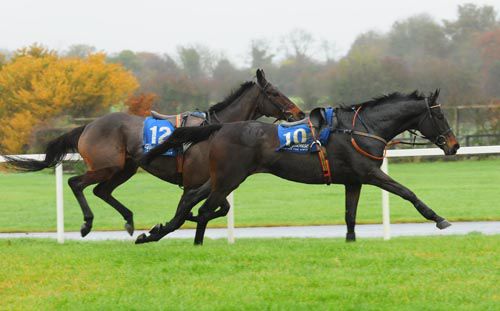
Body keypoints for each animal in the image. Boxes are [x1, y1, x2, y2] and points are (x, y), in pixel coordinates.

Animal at [4, 69, 304, 238]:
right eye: (274, 92)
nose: (298, 112)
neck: (214, 130)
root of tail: (88, 126)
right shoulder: (197, 181)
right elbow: (210, 206)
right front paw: (182, 220)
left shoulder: (212, 181)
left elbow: (221, 208)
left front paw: (186, 218)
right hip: (107, 166)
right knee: (76, 183)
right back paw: (88, 224)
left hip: (125, 168)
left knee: (102, 191)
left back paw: (129, 221)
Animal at [138, 89, 460, 246]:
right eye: (440, 116)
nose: (454, 145)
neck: (362, 129)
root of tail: (219, 127)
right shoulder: (370, 174)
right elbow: (408, 193)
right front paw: (439, 219)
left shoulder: (353, 180)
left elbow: (350, 215)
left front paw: (351, 241)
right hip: (230, 178)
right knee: (204, 210)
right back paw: (196, 243)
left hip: (220, 178)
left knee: (192, 200)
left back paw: (154, 233)